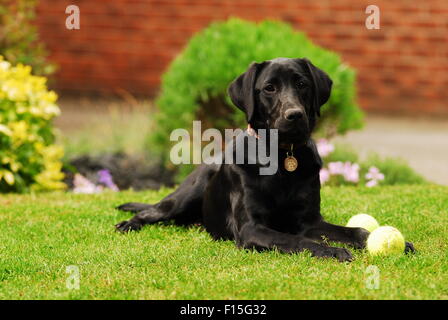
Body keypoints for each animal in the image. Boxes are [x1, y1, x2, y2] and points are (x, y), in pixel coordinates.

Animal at [114, 58, 412, 262]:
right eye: (269, 88)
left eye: (302, 84)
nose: (295, 115)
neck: (282, 157)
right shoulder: (252, 229)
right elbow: (295, 240)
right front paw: (333, 251)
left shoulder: (310, 221)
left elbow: (355, 230)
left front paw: (387, 241)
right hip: (184, 197)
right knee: (151, 211)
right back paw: (129, 224)